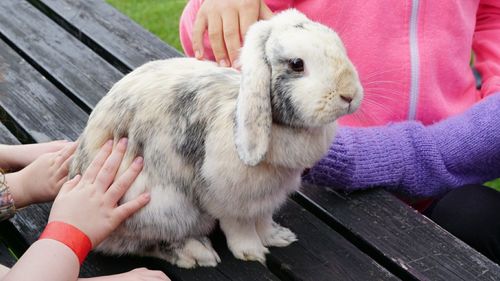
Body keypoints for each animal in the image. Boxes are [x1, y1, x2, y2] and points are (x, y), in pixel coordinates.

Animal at [69, 8, 364, 266]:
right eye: (297, 64)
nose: (349, 95)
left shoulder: (266, 199)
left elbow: (264, 221)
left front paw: (278, 237)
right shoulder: (230, 199)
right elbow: (240, 228)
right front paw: (252, 252)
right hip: (159, 206)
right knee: (140, 243)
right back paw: (196, 253)